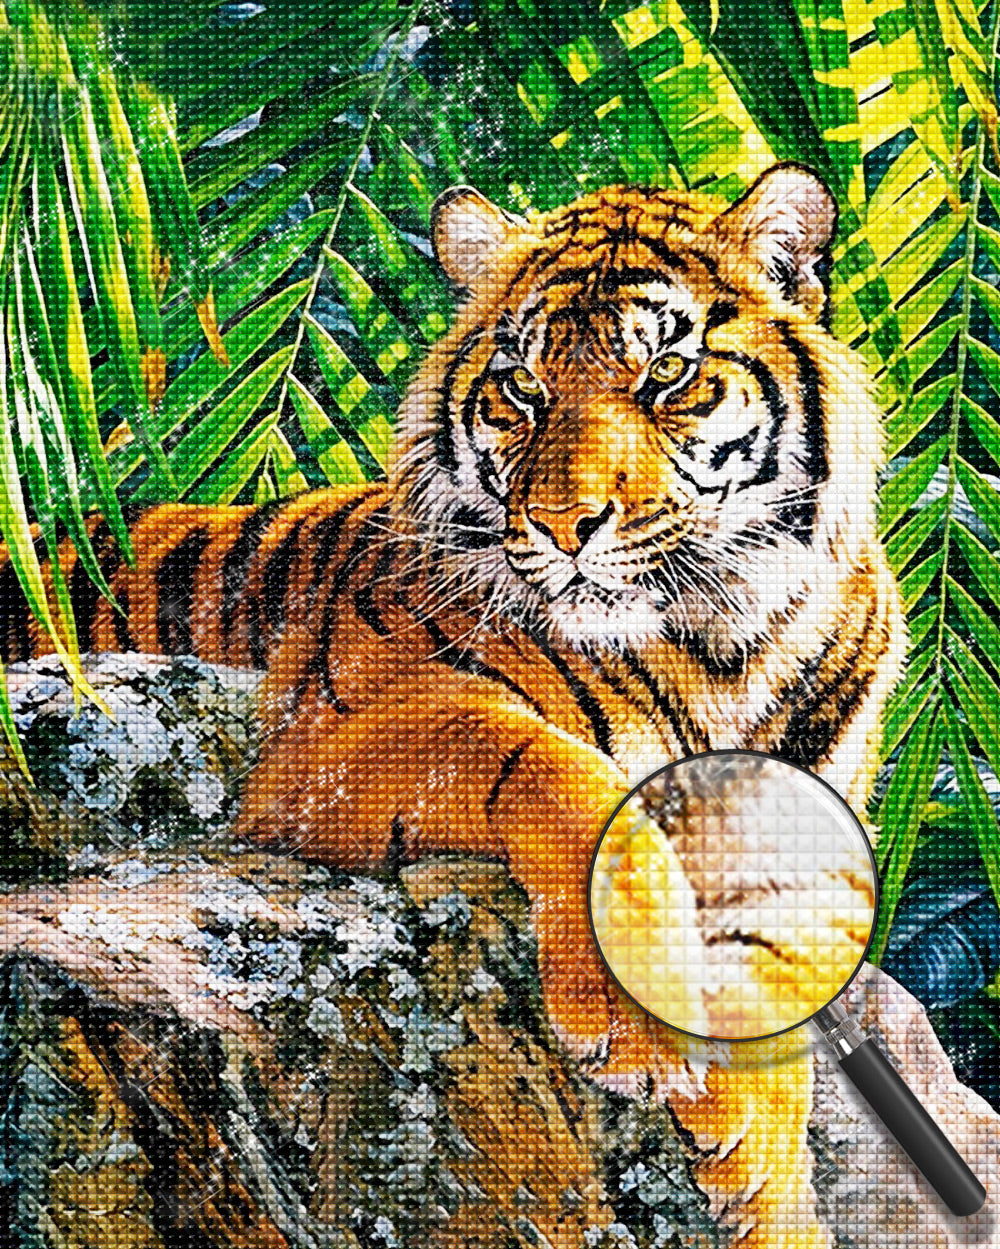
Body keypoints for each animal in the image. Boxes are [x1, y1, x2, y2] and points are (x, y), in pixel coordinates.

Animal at [1, 163, 907, 1248]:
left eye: (666, 375)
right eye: (523, 387)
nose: (563, 525)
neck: (718, 642)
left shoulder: (814, 842)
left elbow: (795, 969)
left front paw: (767, 1185)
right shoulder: (332, 738)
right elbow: (570, 779)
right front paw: (637, 1020)